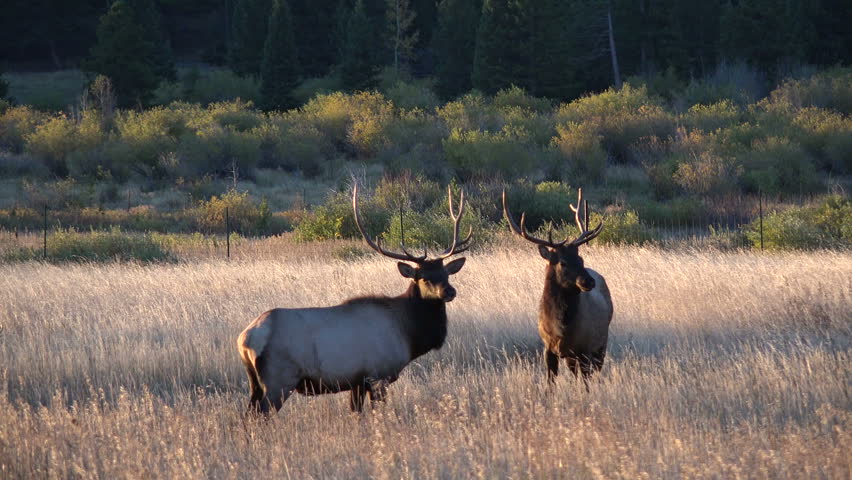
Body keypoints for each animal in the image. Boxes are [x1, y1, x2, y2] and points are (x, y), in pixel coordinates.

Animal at [235, 182, 472, 414]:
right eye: (423, 278)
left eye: (446, 274)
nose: (449, 292)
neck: (408, 333)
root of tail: (245, 338)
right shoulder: (378, 375)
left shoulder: (357, 382)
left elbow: (356, 413)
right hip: (279, 379)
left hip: (256, 384)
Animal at [500, 188, 612, 386]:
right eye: (563, 262)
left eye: (581, 259)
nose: (589, 281)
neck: (562, 331)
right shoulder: (549, 348)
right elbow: (550, 383)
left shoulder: (585, 348)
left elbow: (586, 384)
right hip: (573, 356)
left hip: (601, 344)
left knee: (595, 372)